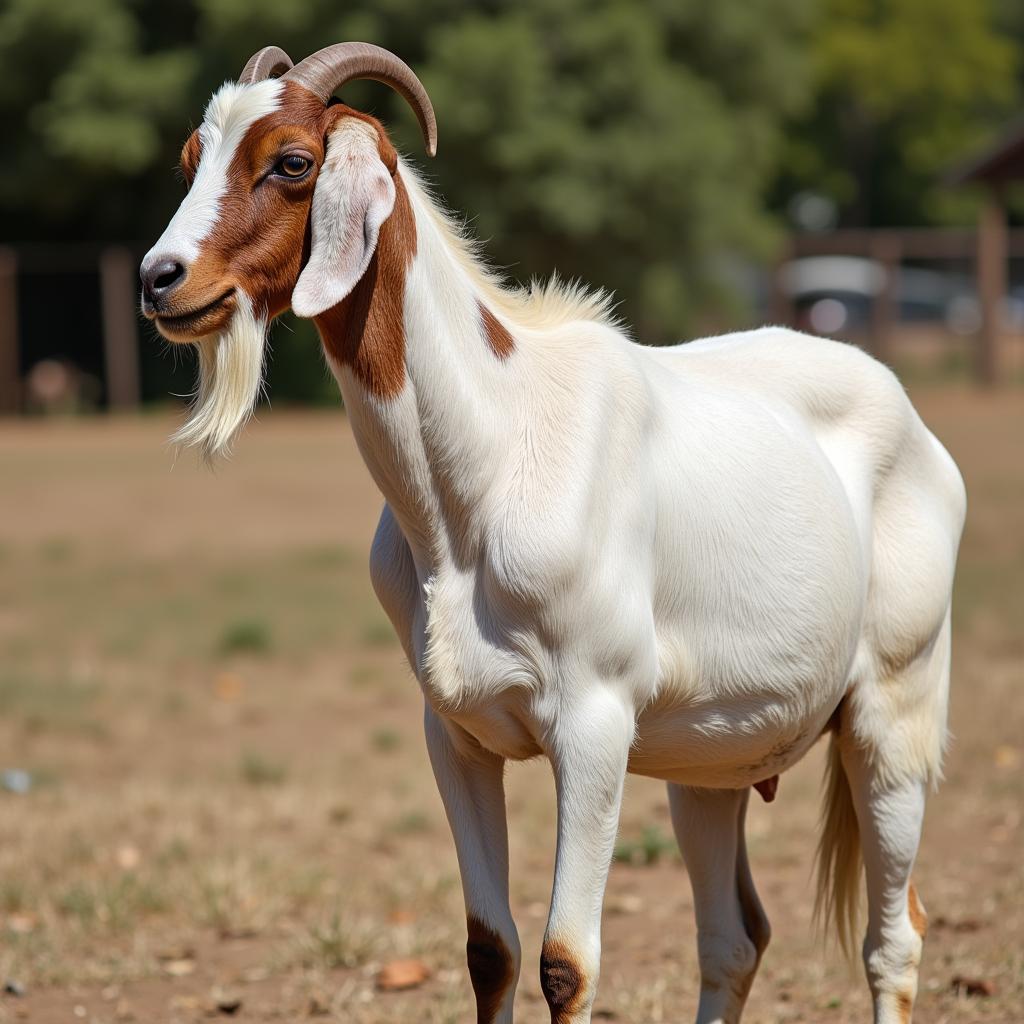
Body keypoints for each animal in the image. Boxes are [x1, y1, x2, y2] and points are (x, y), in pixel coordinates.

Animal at [140, 41, 962, 1024]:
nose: (160, 279)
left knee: (893, 939)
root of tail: (918, 429)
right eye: (194, 156)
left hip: (895, 703)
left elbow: (566, 962)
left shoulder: (595, 722)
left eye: (292, 162)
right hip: (708, 759)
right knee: (734, 938)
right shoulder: (451, 733)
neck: (492, 454)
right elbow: (488, 951)